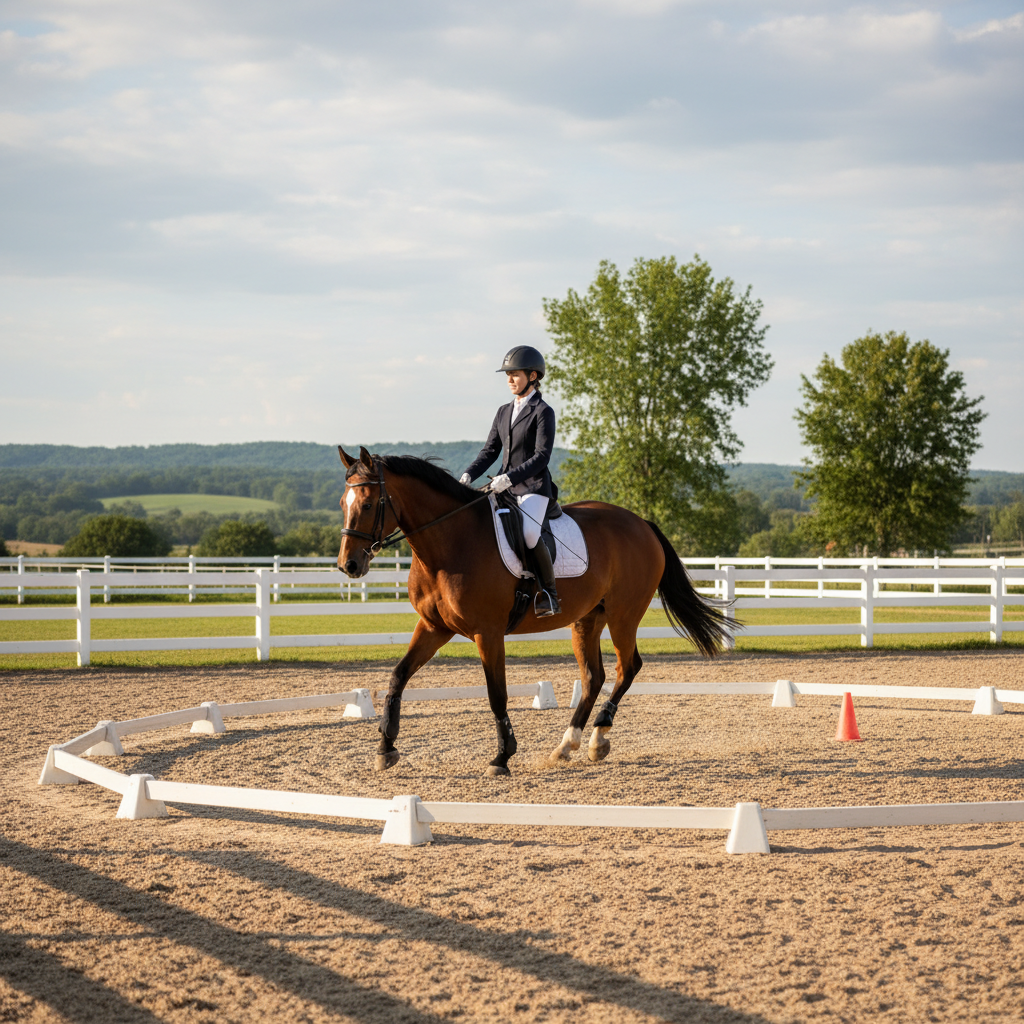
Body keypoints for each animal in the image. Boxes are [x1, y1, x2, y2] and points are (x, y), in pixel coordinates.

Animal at [336, 445, 732, 776]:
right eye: (343, 502)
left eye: (368, 504)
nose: (349, 566)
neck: (450, 542)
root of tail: (642, 524)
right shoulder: (434, 626)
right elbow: (398, 676)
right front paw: (385, 747)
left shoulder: (488, 632)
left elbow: (496, 694)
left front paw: (502, 757)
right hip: (588, 619)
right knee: (594, 677)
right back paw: (567, 745)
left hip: (624, 615)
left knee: (627, 667)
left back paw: (599, 737)